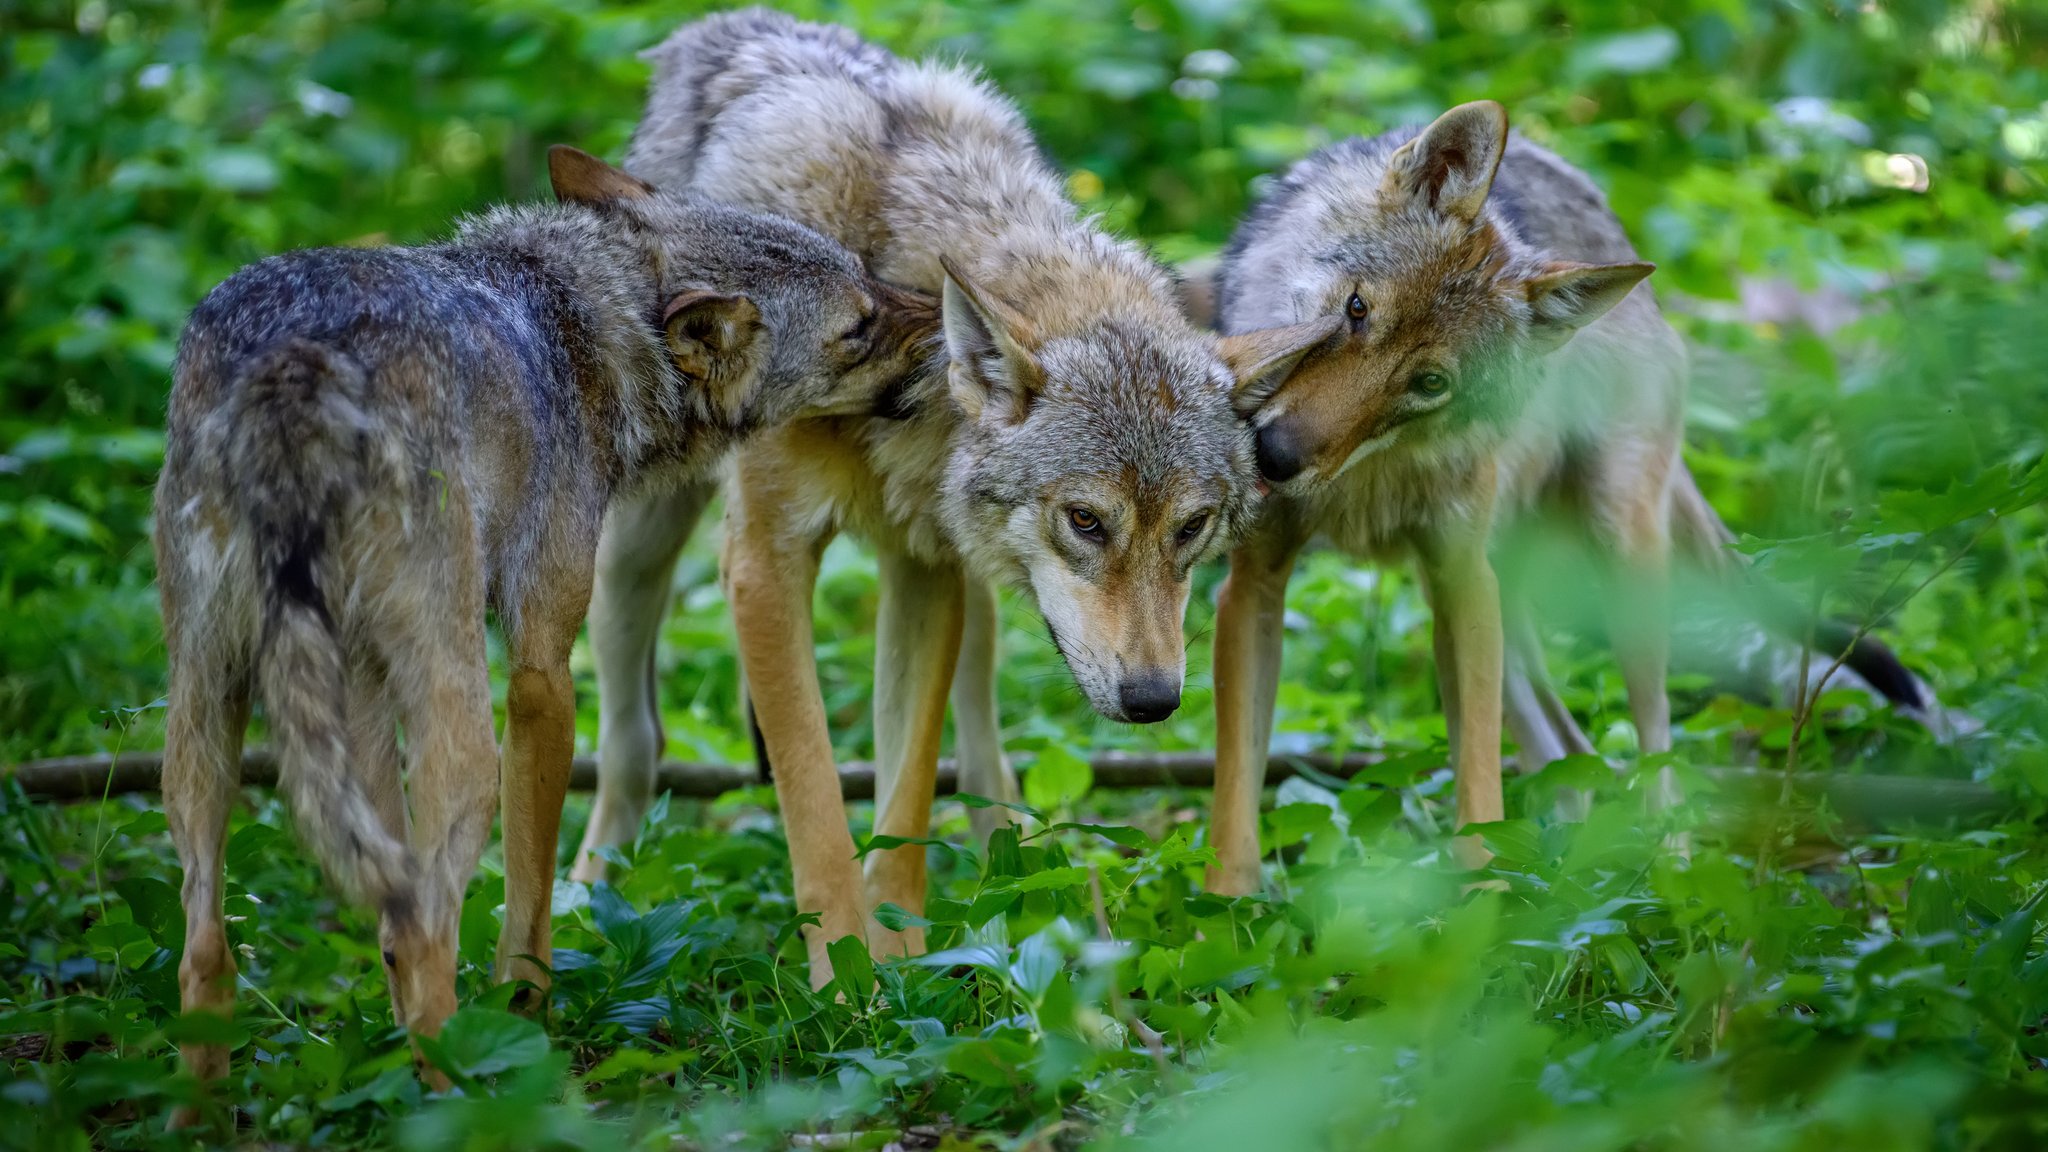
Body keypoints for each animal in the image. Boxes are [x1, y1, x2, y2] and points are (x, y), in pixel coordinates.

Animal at [151, 145, 937, 1106]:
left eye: (869, 276)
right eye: (857, 327)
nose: (948, 318)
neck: (589, 325)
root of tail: (295, 358)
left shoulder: (367, 692)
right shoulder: (543, 676)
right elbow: (529, 905)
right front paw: (527, 1015)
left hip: (207, 721)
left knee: (212, 953)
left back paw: (205, 1112)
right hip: (461, 743)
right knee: (419, 929)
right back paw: (470, 1099)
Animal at [573, 6, 1343, 975]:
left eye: (1193, 528)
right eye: (1086, 520)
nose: (1154, 703)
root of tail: (729, 25)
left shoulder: (926, 562)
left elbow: (904, 792)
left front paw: (901, 955)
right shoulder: (764, 564)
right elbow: (815, 799)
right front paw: (843, 975)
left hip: (970, 578)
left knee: (977, 730)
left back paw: (1005, 865)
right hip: (636, 553)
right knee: (632, 737)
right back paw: (585, 898)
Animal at [1196, 100, 1933, 889]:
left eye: (1428, 383)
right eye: (1358, 309)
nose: (1273, 456)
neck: (1364, 478)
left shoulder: (1462, 584)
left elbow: (1479, 787)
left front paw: (1482, 898)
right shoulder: (1254, 588)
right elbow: (1235, 791)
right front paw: (1227, 905)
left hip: (1615, 571)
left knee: (1654, 746)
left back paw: (1667, 878)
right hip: (1499, 610)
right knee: (1568, 751)